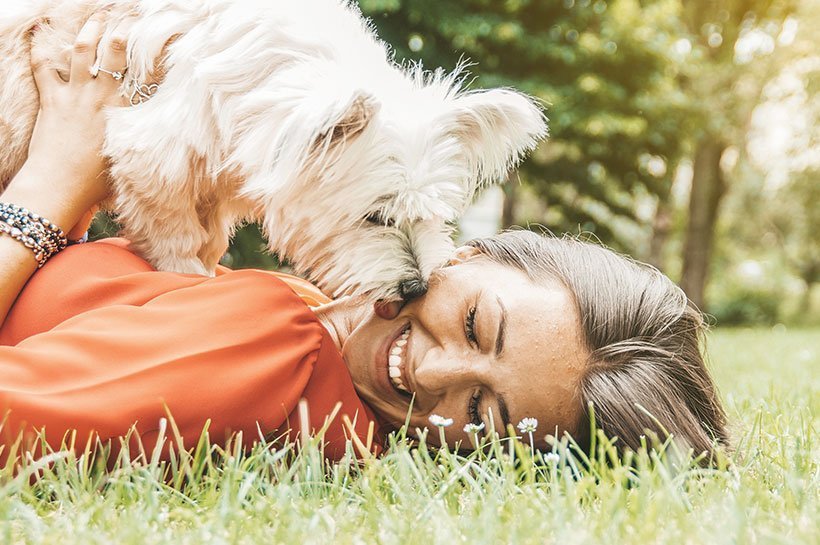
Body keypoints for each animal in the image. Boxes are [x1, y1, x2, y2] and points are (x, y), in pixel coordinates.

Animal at [1, 0, 552, 300]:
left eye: (435, 217)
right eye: (375, 217)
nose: (417, 287)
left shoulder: (218, 173)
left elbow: (210, 234)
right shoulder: (155, 148)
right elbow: (176, 235)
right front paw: (188, 279)